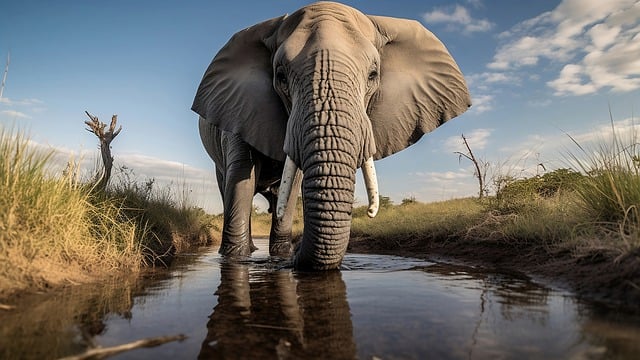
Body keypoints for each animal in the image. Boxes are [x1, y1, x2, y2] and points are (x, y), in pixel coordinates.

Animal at [190, 0, 470, 270]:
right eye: (280, 76)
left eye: (373, 75)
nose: (293, 257)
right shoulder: (237, 110)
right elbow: (242, 178)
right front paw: (236, 259)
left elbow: (293, 184)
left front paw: (281, 256)